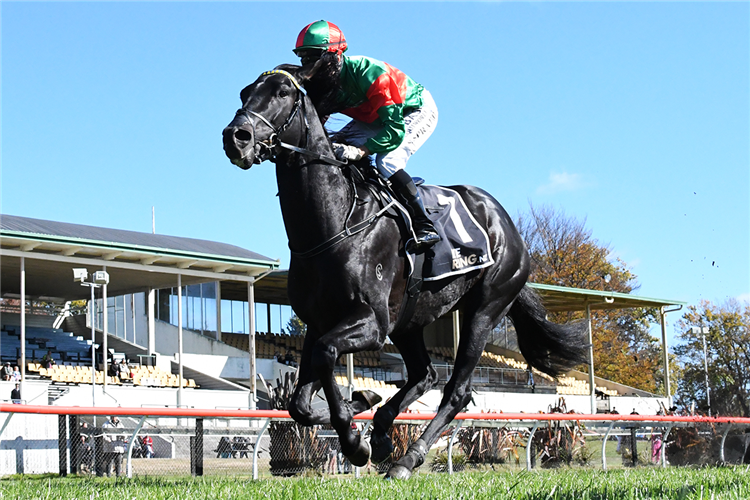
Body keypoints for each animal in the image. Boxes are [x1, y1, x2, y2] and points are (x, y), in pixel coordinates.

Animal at [223, 64, 592, 478]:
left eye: (283, 92)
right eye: (244, 93)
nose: (235, 137)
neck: (335, 222)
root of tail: (506, 225)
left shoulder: (372, 322)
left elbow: (326, 354)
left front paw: (355, 440)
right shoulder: (318, 322)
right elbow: (300, 402)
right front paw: (363, 404)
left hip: (484, 309)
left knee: (456, 390)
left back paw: (407, 457)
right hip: (411, 319)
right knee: (424, 374)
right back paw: (385, 432)